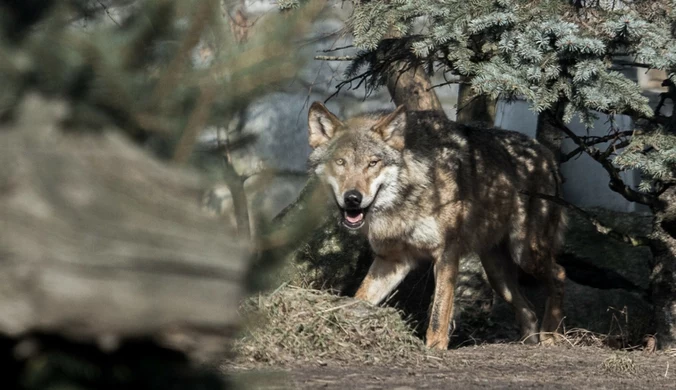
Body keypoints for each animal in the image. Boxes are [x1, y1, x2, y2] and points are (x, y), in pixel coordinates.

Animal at [306, 102, 564, 348]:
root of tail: (546, 153)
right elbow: (361, 296)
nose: (352, 198)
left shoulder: (446, 254)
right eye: (340, 162)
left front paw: (434, 348)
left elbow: (439, 312)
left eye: (373, 163)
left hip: (525, 253)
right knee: (529, 310)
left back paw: (550, 335)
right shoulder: (393, 260)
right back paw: (529, 341)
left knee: (559, 273)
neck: (408, 195)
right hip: (497, 274)